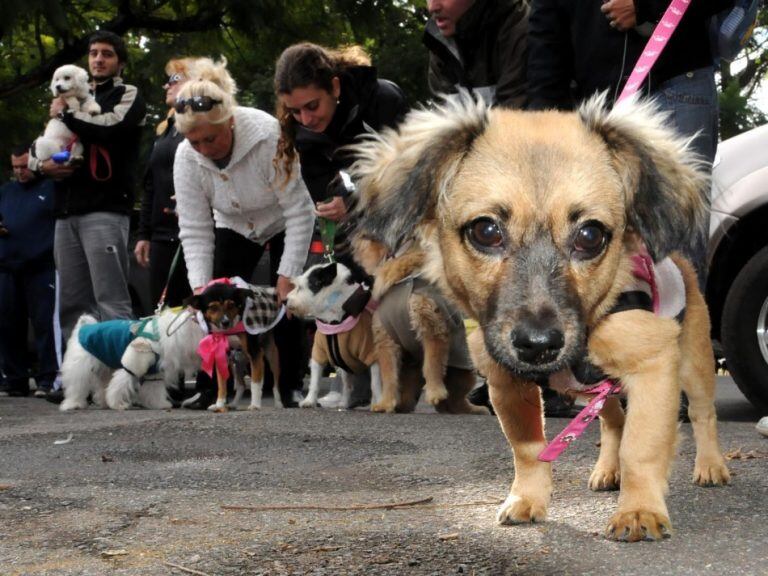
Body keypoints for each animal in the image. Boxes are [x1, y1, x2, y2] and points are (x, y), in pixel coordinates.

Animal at [60, 308, 204, 412]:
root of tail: (84, 327)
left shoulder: (154, 372)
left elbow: (154, 389)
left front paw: (159, 404)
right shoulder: (133, 365)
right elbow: (119, 385)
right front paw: (117, 404)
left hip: (104, 369)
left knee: (101, 387)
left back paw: (103, 403)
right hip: (80, 367)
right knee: (76, 386)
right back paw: (73, 404)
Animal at [186, 282, 282, 412]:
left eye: (231, 305)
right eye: (213, 307)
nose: (225, 322)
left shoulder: (255, 353)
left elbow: (255, 382)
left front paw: (255, 405)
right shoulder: (221, 353)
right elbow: (222, 384)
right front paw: (219, 404)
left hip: (271, 354)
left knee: (275, 382)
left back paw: (278, 403)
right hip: (237, 358)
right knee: (241, 385)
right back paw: (234, 404)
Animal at [354, 236, 486, 416]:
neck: (401, 280)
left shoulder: (431, 328)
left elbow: (431, 365)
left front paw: (435, 392)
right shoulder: (386, 340)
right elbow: (388, 376)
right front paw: (385, 403)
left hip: (465, 374)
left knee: (455, 401)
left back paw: (473, 409)